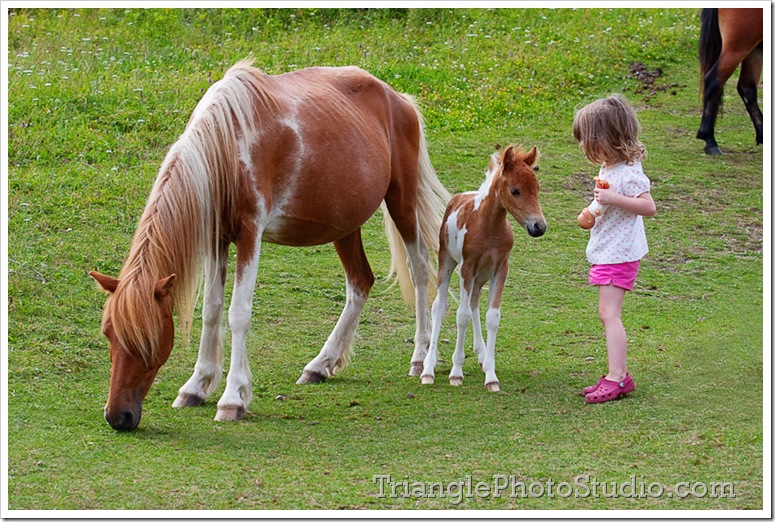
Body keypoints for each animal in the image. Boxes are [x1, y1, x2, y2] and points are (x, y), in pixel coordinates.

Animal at [90, 59, 451, 431]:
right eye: (108, 333)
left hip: (401, 202)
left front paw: (232, 398)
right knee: (360, 283)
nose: (117, 416)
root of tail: (399, 99)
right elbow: (211, 310)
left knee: (419, 269)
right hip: (345, 224)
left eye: (147, 340)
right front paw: (196, 386)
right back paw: (320, 365)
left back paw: (420, 357)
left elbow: (238, 313)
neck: (226, 146)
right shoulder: (218, 238)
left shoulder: (250, 233)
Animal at [419, 145, 546, 391]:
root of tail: (459, 196)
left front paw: (491, 374)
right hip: (448, 262)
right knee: (440, 306)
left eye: (537, 188)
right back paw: (428, 369)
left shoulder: (500, 269)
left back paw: (481, 353)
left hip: (481, 276)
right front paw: (456, 373)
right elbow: (462, 315)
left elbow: (492, 316)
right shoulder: (467, 268)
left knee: (475, 302)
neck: (489, 227)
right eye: (515, 191)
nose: (539, 227)